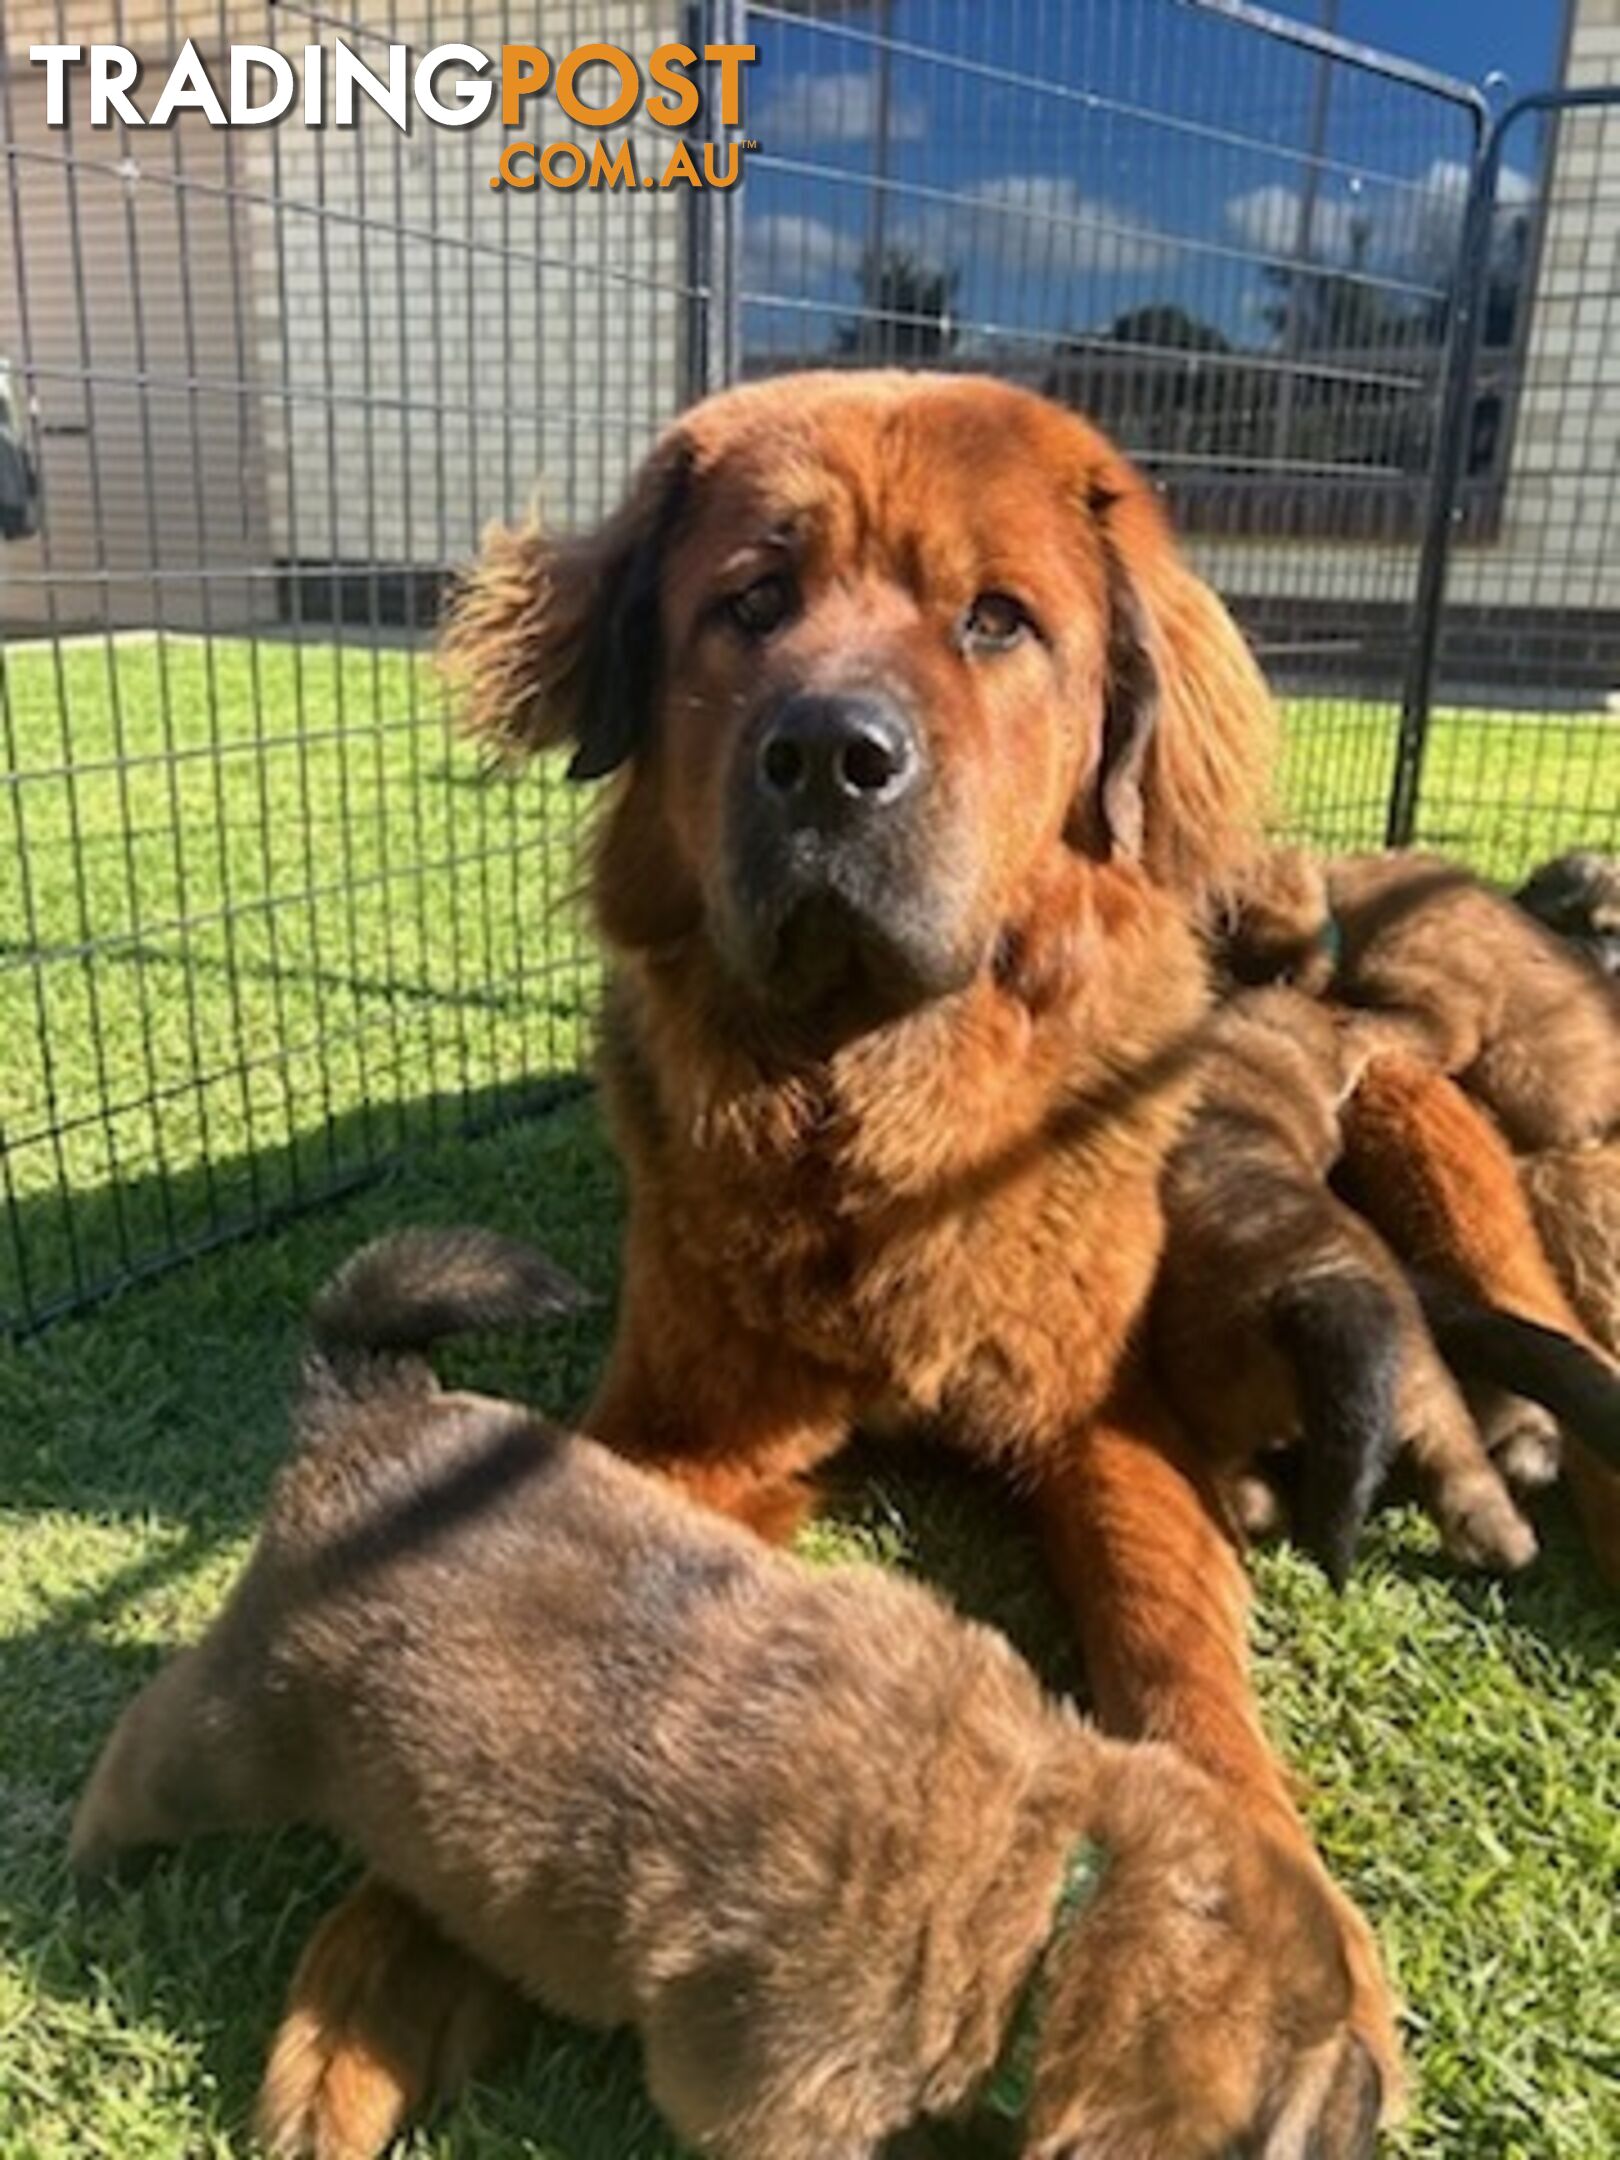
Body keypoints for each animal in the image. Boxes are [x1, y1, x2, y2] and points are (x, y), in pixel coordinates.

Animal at [69, 1226, 1373, 2160]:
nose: (1378, 2108)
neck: (1057, 1884)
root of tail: (373, 1407)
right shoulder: (767, 2095)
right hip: (241, 1728)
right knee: (138, 1750)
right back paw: (92, 1867)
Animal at [276, 371, 1399, 2142]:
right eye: (753, 603)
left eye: (997, 621)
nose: (826, 757)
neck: (874, 1111)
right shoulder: (691, 1425)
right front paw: (380, 1964)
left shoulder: (1102, 1417)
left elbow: (1173, 1639)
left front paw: (1271, 1923)